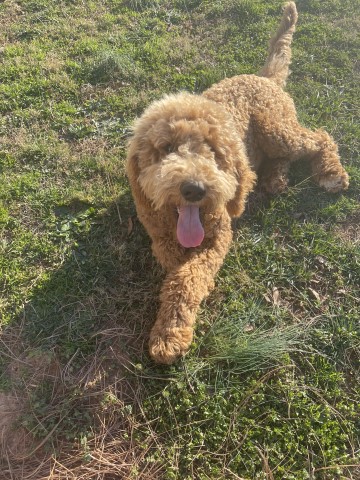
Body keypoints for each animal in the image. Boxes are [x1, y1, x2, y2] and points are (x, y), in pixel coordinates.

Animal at [126, 2, 348, 364]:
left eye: (215, 152)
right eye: (167, 148)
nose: (195, 189)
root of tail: (263, 76)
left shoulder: (219, 235)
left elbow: (187, 277)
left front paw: (170, 333)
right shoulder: (161, 237)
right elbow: (179, 270)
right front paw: (174, 325)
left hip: (276, 129)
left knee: (318, 138)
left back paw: (330, 172)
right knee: (275, 163)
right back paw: (275, 179)